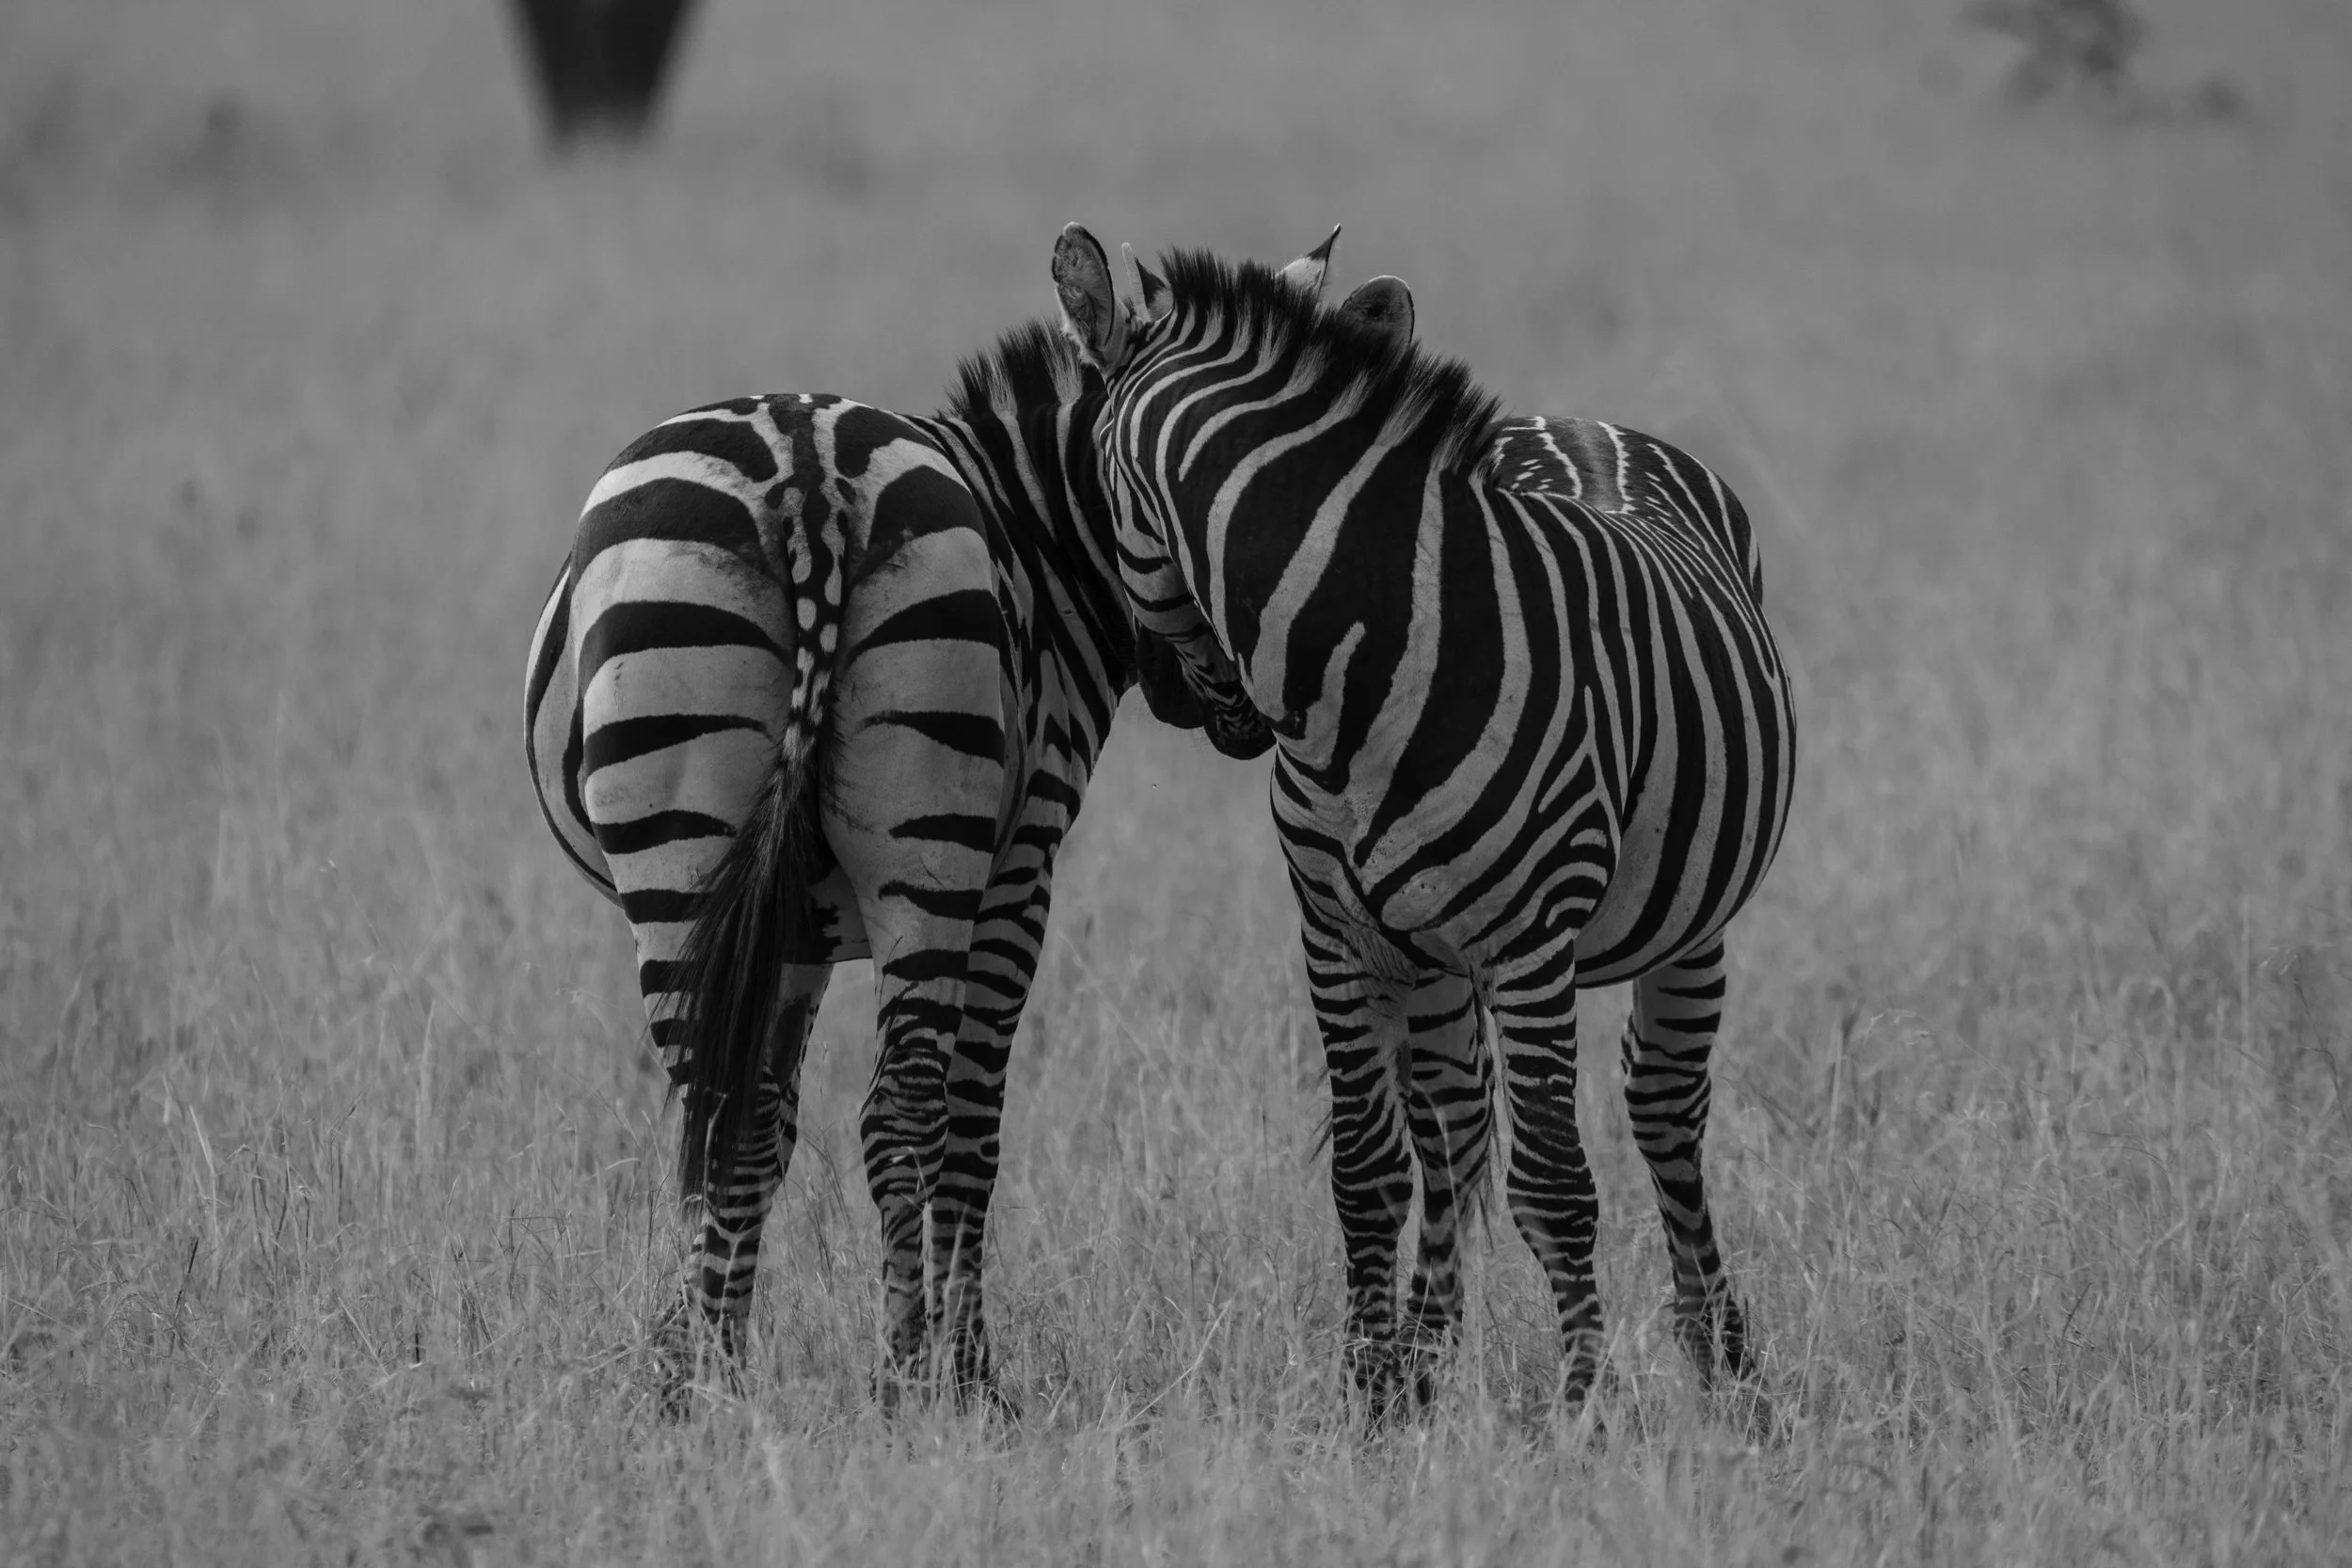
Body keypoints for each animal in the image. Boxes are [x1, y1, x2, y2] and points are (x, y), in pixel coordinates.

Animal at [523, 236, 1406, 1409]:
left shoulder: (788, 926)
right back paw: (899, 1378)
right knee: (892, 1111)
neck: (1039, 528)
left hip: (700, 843)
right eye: (1195, 519)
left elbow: (767, 1118)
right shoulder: (1021, 864)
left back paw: (719, 1386)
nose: (1254, 714)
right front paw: (970, 1372)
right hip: (915, 847)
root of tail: (805, 467)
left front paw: (709, 1345)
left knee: (724, 1105)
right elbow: (966, 1123)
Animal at [1051, 228, 1798, 1416]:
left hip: (1686, 925)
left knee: (1664, 1112)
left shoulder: (1532, 941)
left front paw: (1582, 1407)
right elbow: (1367, 1171)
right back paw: (1428, 1361)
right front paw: (1371, 1395)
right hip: (1434, 954)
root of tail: (1574, 418)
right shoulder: (1337, 936)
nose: (1191, 702)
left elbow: (1553, 1182)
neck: (1360, 665)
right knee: (1450, 1130)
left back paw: (1723, 1364)